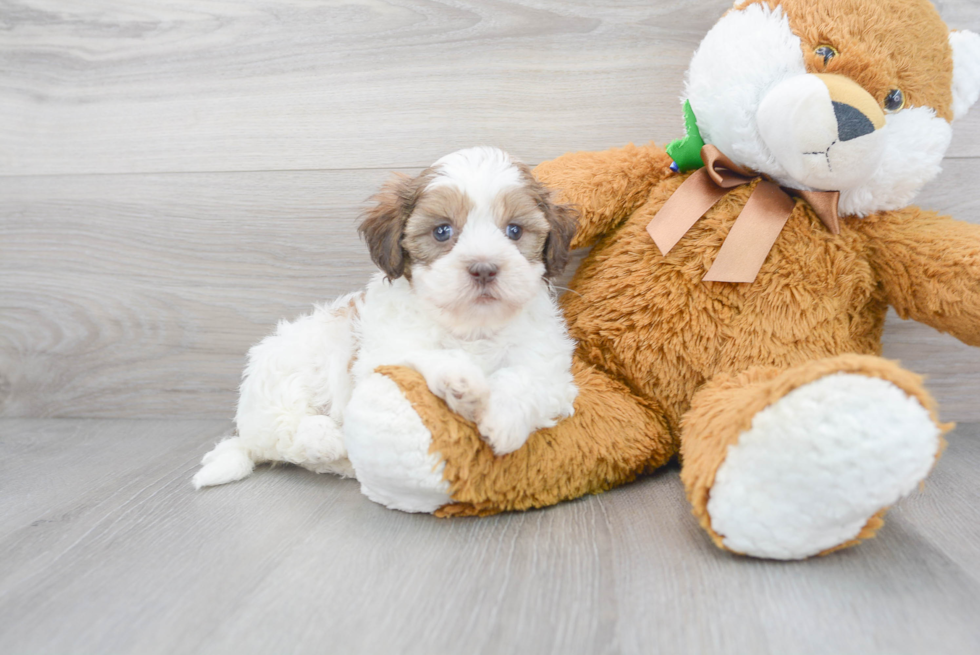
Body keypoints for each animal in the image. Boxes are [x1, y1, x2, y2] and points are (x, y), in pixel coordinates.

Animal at [191, 146, 580, 490]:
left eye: (514, 231)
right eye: (442, 231)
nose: (484, 268)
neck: (471, 327)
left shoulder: (551, 368)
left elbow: (526, 379)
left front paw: (503, 418)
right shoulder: (380, 355)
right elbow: (421, 354)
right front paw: (459, 380)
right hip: (288, 368)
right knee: (281, 434)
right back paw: (325, 438)